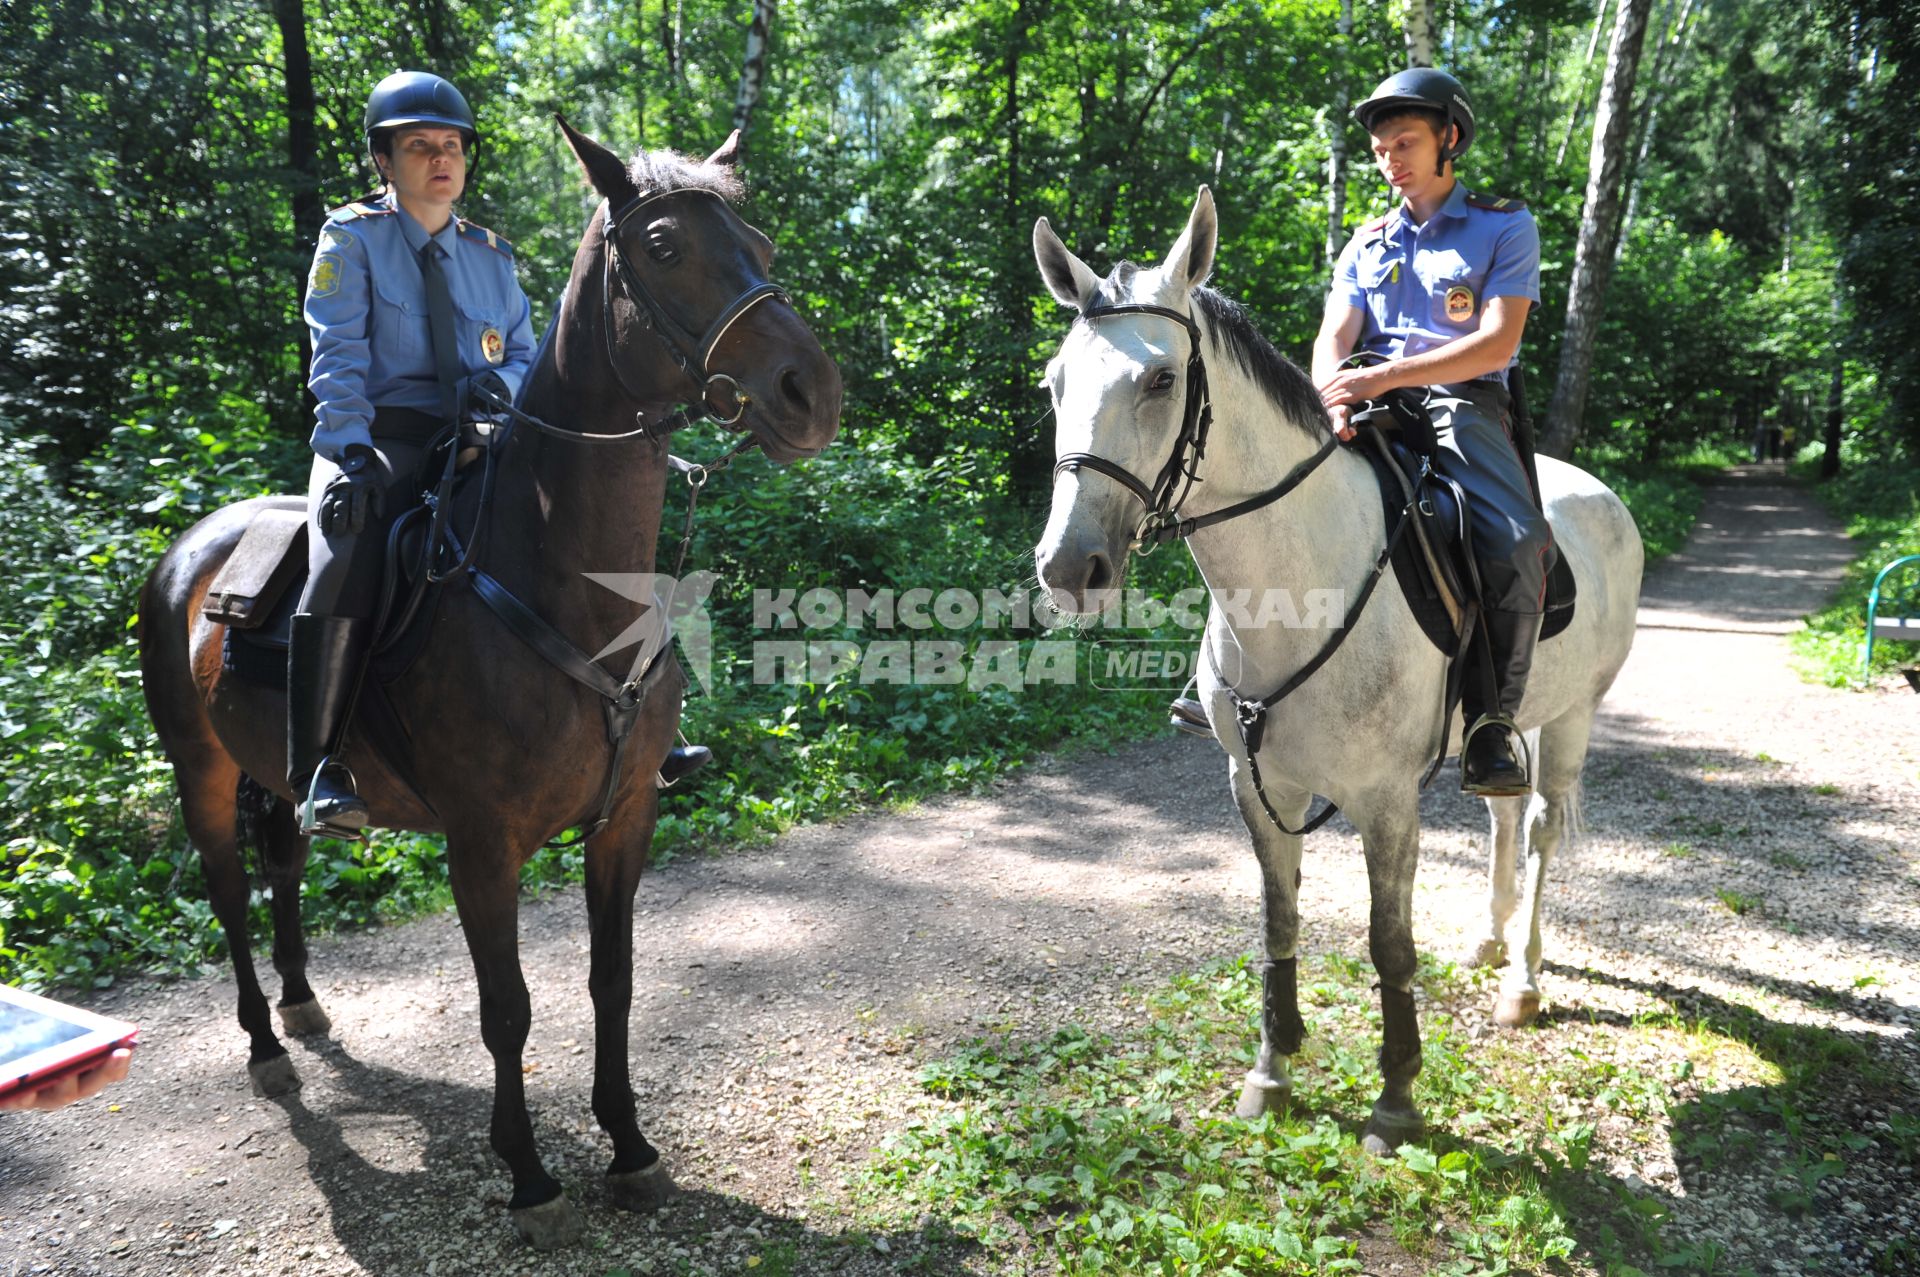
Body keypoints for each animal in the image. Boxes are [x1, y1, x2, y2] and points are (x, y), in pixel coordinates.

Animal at [139, 121, 844, 1244]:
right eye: (662, 247)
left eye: (761, 242)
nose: (809, 391)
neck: (561, 583)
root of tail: (187, 552)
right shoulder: (481, 843)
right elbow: (506, 1006)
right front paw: (528, 1172)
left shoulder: (625, 819)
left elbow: (613, 979)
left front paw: (630, 1146)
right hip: (198, 770)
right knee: (228, 891)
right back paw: (264, 1043)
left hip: (276, 772)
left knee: (284, 863)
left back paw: (301, 1002)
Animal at [1029, 184, 1643, 1152]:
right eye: (1056, 382)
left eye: (1161, 380)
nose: (1067, 566)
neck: (1296, 585)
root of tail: (1600, 493)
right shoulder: (1257, 784)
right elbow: (1278, 920)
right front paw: (1272, 1071)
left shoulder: (1385, 801)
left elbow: (1389, 942)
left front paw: (1396, 1095)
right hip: (1507, 722)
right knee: (1505, 811)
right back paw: (1489, 941)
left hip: (1575, 712)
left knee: (1542, 827)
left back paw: (1523, 981)